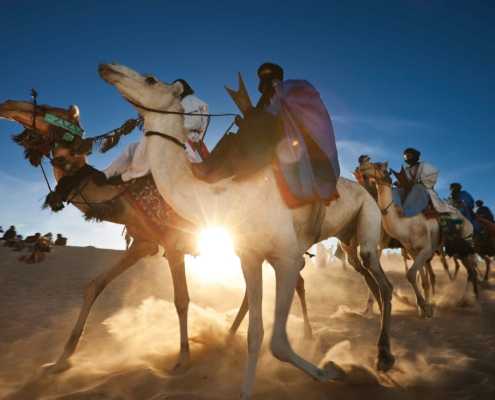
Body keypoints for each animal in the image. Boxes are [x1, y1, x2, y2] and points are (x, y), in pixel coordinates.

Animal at [99, 64, 398, 398]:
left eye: (151, 79)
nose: (108, 68)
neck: (225, 196)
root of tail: (367, 193)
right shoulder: (250, 257)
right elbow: (256, 333)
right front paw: (245, 388)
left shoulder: (287, 258)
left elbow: (278, 342)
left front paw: (332, 371)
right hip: (347, 239)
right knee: (369, 278)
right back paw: (378, 347)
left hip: (368, 219)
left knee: (382, 281)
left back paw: (384, 355)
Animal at [360, 161, 480, 318]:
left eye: (379, 166)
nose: (361, 168)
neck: (406, 225)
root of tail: (469, 223)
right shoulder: (413, 251)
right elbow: (421, 279)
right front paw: (424, 308)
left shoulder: (426, 250)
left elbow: (411, 274)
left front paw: (424, 307)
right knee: (469, 271)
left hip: (463, 247)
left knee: (471, 271)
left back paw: (465, 300)